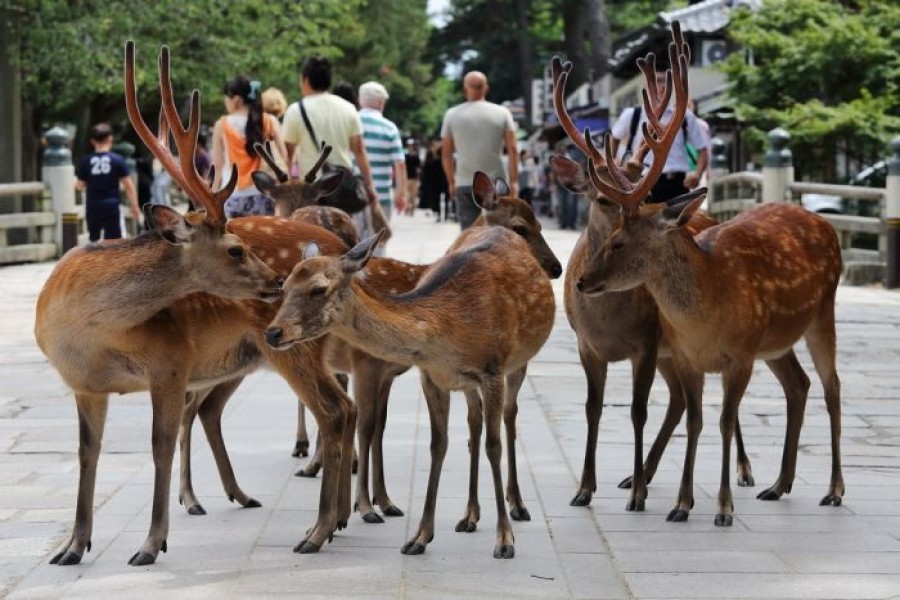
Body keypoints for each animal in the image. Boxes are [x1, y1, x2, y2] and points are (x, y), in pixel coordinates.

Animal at [35, 43, 358, 568]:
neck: (85, 331)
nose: (278, 282)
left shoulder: (171, 360)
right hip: (258, 355)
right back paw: (339, 518)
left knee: (334, 410)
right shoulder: (83, 384)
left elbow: (159, 445)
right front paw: (73, 546)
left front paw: (150, 544)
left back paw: (319, 529)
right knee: (334, 407)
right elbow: (88, 453)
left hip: (294, 345)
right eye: (234, 249)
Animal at [568, 22, 844, 524]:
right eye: (608, 230)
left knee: (832, 387)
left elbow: (724, 419)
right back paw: (779, 484)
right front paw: (682, 504)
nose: (581, 280)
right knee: (799, 385)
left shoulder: (740, 355)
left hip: (822, 316)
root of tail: (824, 223)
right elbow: (695, 420)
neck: (709, 307)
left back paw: (832, 490)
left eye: (620, 242)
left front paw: (723, 508)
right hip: (776, 343)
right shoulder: (686, 356)